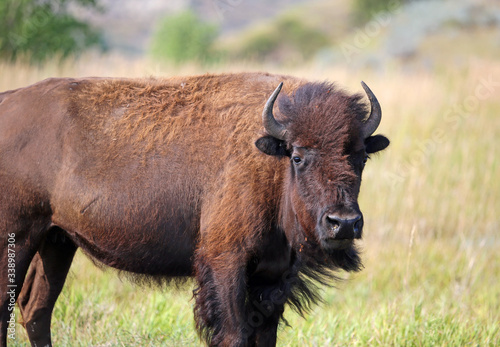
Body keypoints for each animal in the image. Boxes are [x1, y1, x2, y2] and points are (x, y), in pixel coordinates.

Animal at [0, 72, 388, 346]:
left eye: (361, 157)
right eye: (297, 156)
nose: (343, 223)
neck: (269, 162)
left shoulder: (273, 275)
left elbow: (264, 336)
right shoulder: (225, 262)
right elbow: (233, 334)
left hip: (56, 240)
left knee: (36, 309)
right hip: (19, 236)